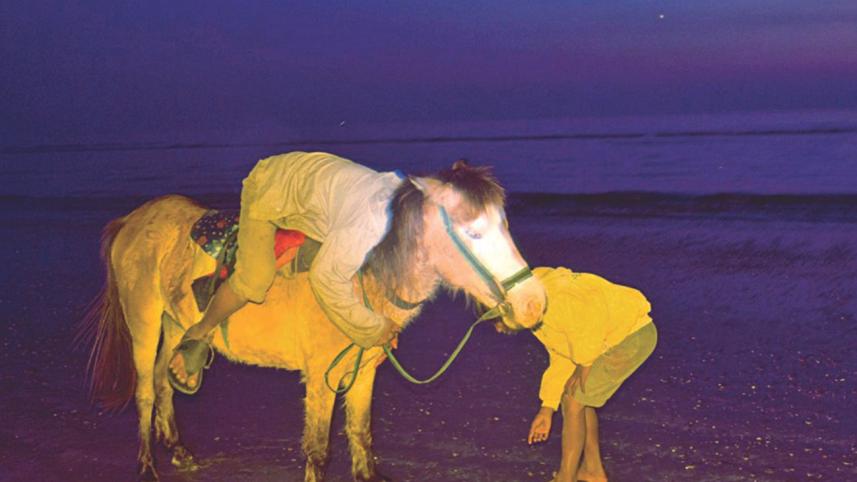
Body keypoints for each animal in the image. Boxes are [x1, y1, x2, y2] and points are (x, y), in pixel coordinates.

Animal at [79, 161, 546, 481]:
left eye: (505, 225)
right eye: (474, 234)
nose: (533, 304)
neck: (364, 278)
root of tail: (134, 219)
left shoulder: (363, 372)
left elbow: (361, 435)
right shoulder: (322, 375)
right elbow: (319, 449)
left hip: (175, 324)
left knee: (164, 381)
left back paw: (178, 450)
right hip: (143, 322)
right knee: (144, 390)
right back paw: (147, 465)